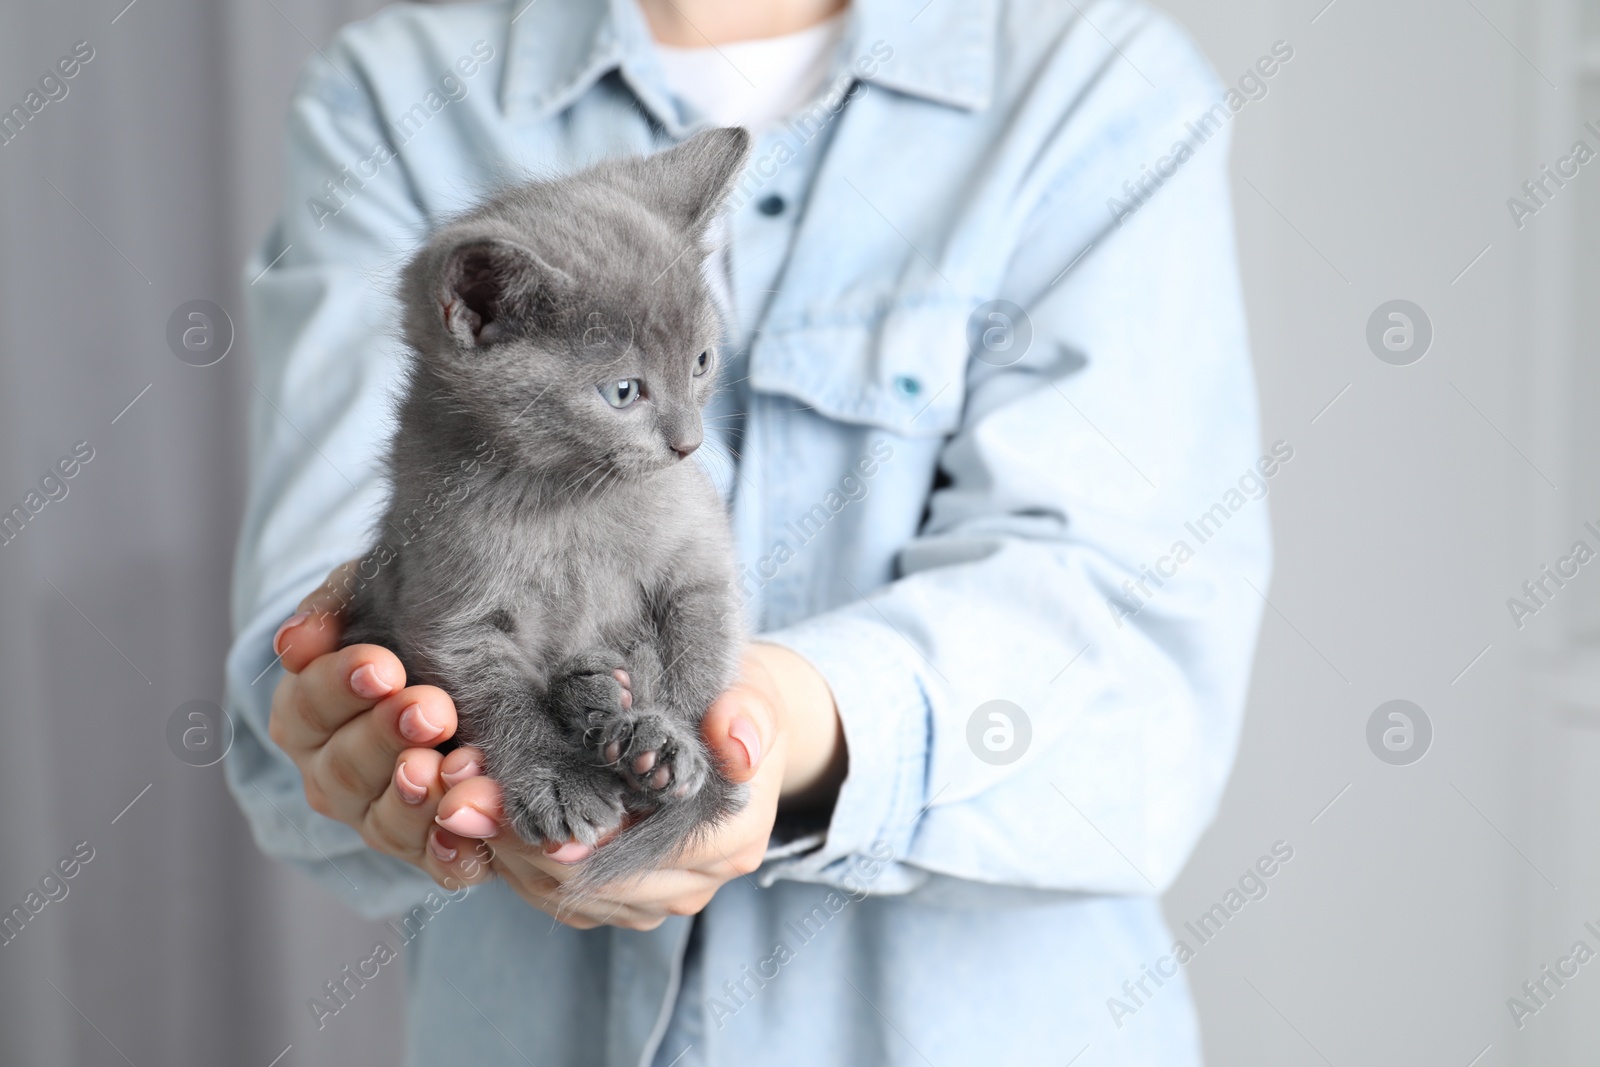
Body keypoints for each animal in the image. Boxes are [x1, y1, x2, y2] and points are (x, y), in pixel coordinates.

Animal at [340, 125, 752, 895]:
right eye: (624, 391)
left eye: (702, 362)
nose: (688, 443)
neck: (567, 494)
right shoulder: (442, 609)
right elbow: (497, 695)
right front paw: (555, 779)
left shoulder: (700, 564)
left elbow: (698, 651)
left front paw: (671, 743)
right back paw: (593, 696)